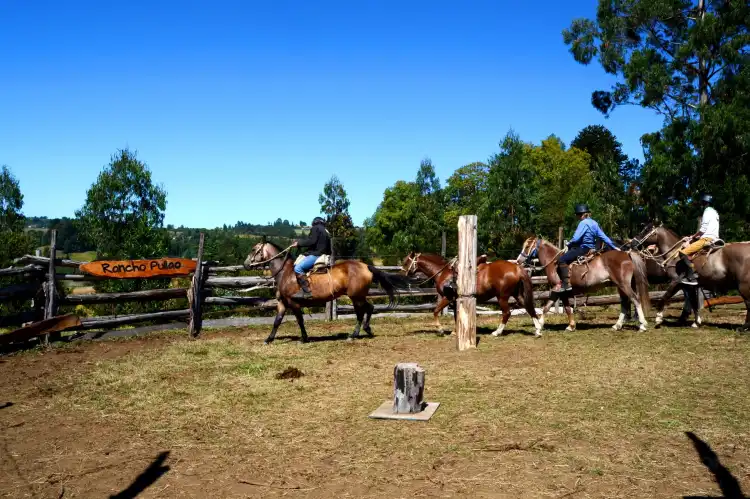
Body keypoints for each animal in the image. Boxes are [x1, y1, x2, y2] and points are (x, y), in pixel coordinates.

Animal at [245, 241, 412, 344]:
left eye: (253, 249)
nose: (246, 264)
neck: (286, 273)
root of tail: (366, 266)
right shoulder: (282, 303)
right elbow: (277, 321)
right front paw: (269, 339)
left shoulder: (294, 303)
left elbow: (300, 320)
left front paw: (304, 338)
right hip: (358, 296)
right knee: (368, 309)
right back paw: (365, 330)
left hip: (356, 297)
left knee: (362, 312)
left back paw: (354, 334)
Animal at [402, 252, 544, 338]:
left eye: (406, 262)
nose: (403, 273)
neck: (443, 272)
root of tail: (517, 268)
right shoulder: (456, 300)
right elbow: (456, 316)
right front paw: (455, 331)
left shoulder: (448, 297)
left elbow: (436, 311)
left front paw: (441, 330)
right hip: (517, 294)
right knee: (529, 307)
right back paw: (537, 330)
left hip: (502, 297)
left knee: (507, 313)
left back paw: (497, 332)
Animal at [516, 237, 652, 332]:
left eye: (527, 246)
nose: (518, 260)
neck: (554, 263)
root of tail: (626, 254)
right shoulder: (560, 291)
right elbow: (556, 307)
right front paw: (567, 326)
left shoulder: (558, 289)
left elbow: (554, 307)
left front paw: (542, 325)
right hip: (620, 286)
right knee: (624, 303)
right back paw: (617, 325)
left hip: (624, 285)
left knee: (635, 299)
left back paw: (642, 325)